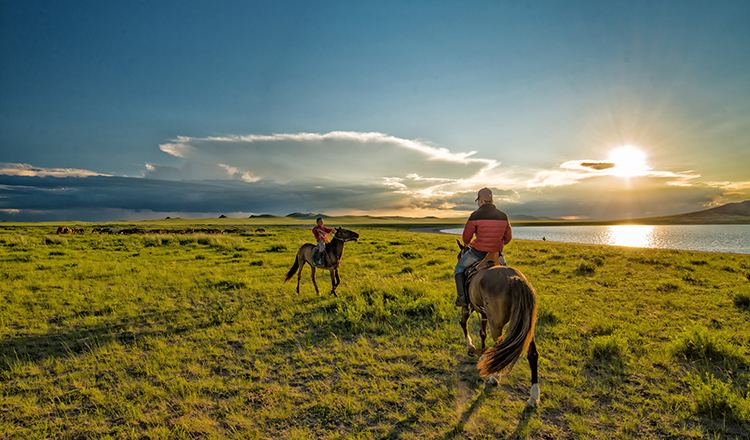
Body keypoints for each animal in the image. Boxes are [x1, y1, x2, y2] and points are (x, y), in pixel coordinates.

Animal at [456, 242, 544, 408]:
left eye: (459, 256)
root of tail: (515, 279)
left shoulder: (468, 307)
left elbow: (464, 324)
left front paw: (470, 346)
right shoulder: (484, 313)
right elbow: (482, 333)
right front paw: (483, 355)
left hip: (497, 325)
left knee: (502, 349)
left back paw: (495, 378)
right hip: (528, 327)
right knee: (533, 354)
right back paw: (534, 396)